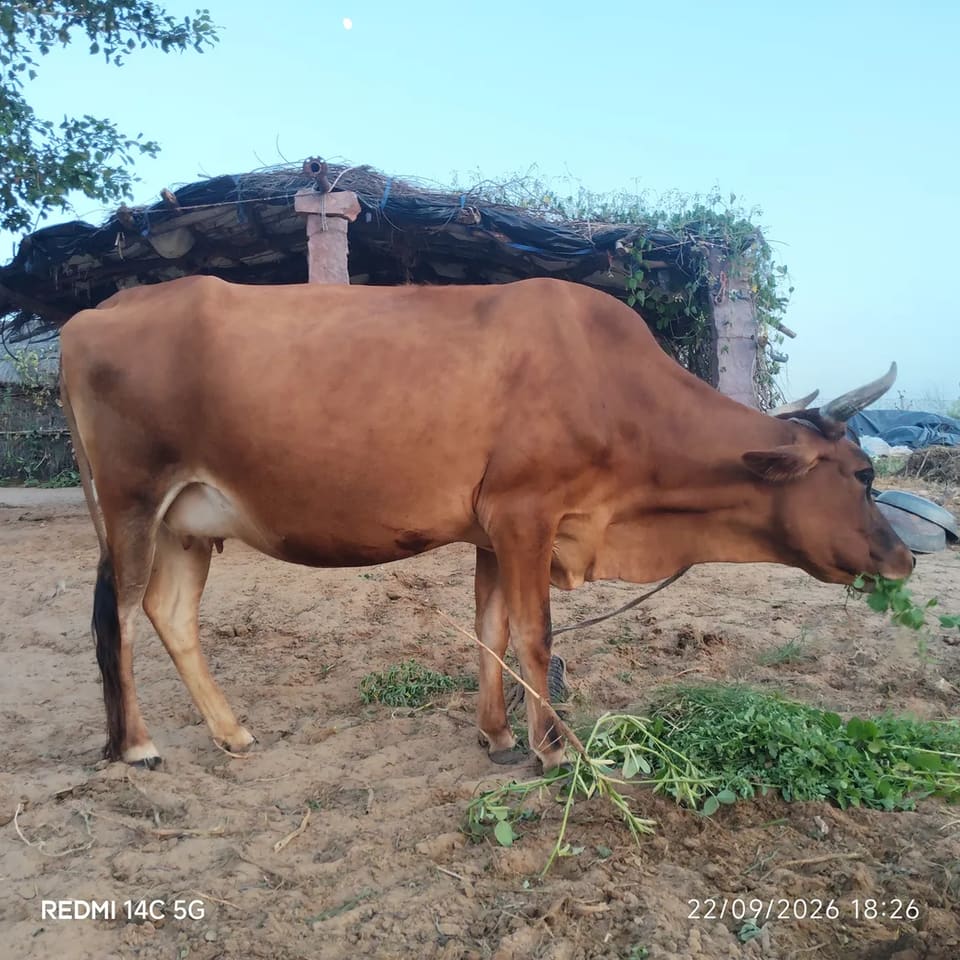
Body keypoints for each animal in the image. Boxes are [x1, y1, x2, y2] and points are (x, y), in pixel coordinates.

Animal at [57, 275, 914, 772]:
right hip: (132, 500)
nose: (906, 559)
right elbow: (535, 633)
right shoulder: (527, 514)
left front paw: (497, 735)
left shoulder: (493, 530)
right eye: (863, 475)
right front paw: (553, 747)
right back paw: (138, 746)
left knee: (170, 613)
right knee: (118, 616)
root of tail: (87, 317)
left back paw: (231, 732)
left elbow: (491, 629)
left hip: (188, 521)